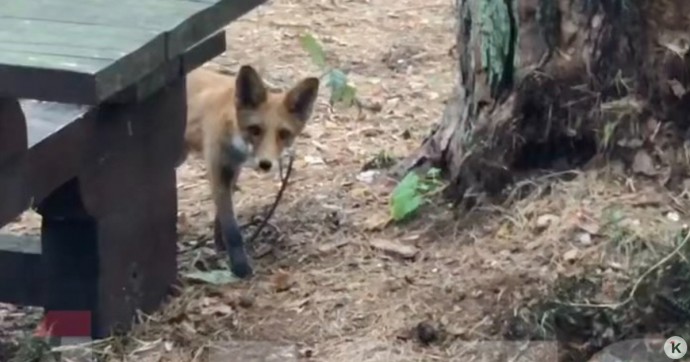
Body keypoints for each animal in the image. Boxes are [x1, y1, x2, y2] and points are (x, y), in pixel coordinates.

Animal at [176, 65, 318, 278]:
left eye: (283, 134)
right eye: (255, 130)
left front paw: (219, 245)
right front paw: (240, 266)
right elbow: (232, 228)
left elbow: (221, 216)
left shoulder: (233, 169)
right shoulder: (216, 168)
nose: (265, 164)